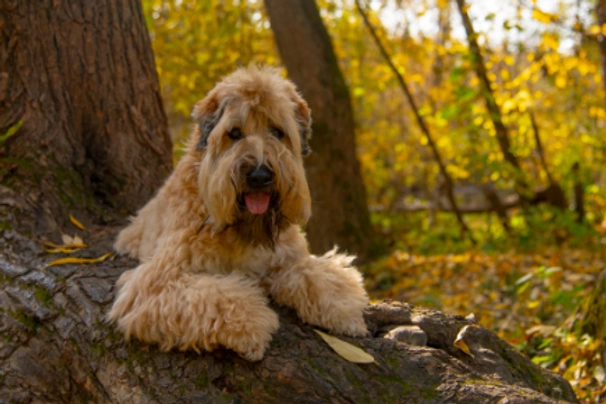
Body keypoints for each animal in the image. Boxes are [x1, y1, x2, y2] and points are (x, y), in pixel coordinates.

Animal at [109, 65, 370, 360]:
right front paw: (253, 326)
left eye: (277, 131)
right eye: (234, 133)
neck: (239, 229)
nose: (259, 176)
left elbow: (319, 276)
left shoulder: (288, 257)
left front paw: (345, 313)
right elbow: (216, 298)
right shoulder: (156, 283)